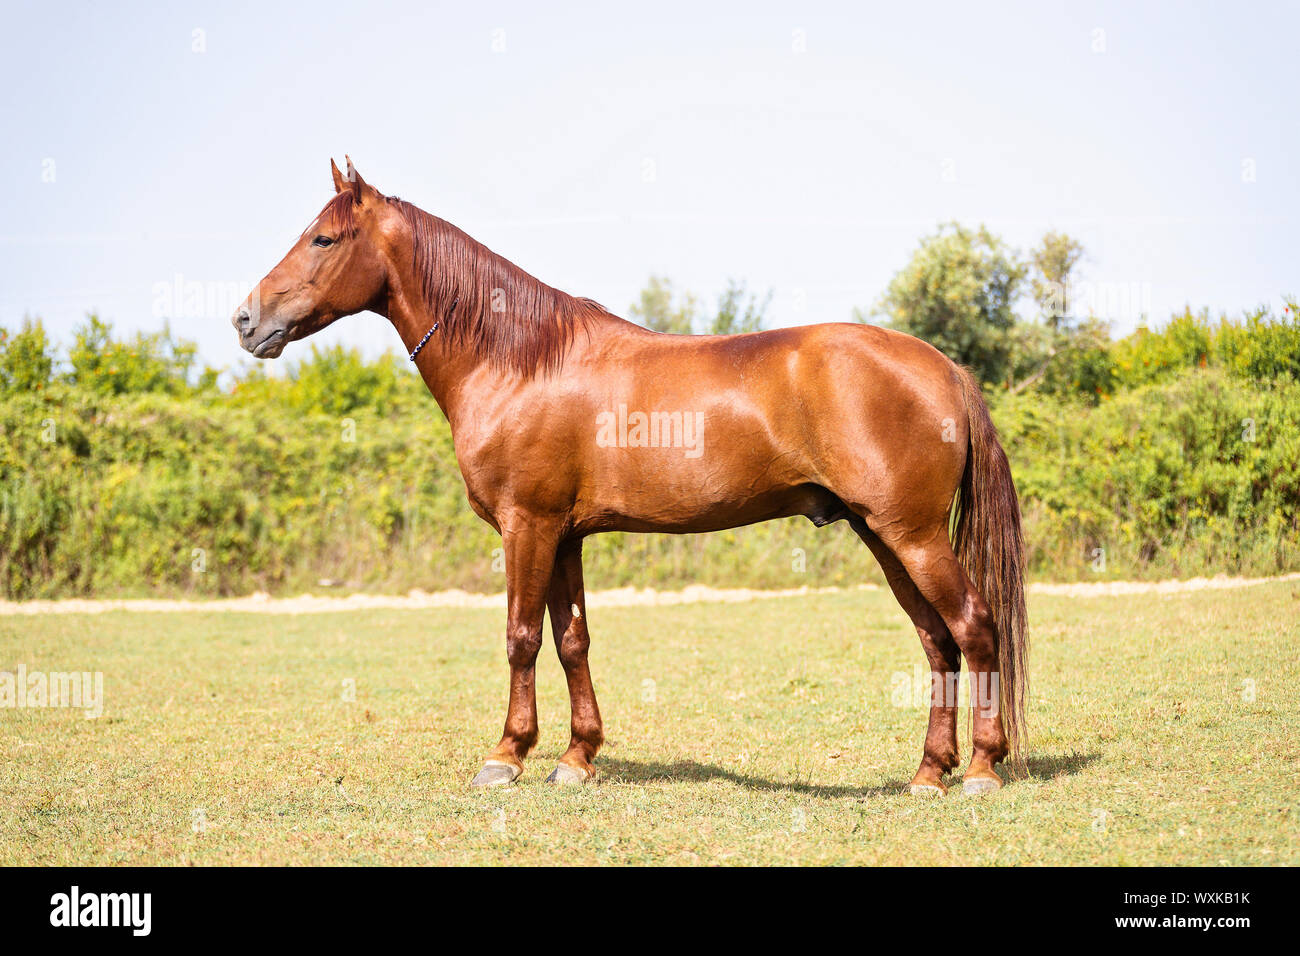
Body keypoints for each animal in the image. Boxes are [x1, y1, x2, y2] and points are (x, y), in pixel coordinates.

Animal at [232, 158, 1028, 796]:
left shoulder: (527, 526)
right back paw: (928, 771)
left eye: (323, 239)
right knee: (937, 642)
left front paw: (506, 756)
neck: (521, 361)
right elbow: (571, 641)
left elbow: (521, 636)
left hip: (912, 534)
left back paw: (982, 769)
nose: (245, 319)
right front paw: (576, 758)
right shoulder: (565, 535)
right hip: (883, 535)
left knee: (974, 626)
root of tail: (944, 367)